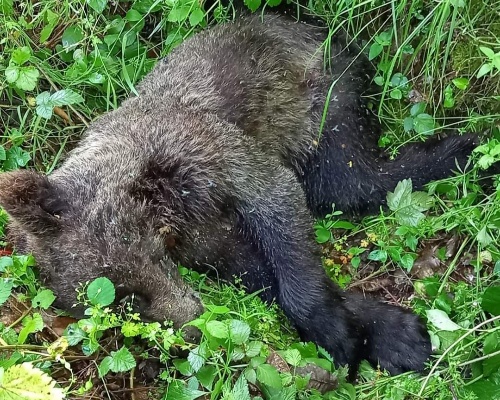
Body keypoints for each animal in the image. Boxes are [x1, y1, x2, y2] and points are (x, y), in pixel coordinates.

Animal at [0, 12, 476, 376]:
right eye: (122, 307)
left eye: (133, 290)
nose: (194, 327)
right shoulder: (205, 235)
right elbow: (258, 272)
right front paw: (389, 334)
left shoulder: (208, 156)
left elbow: (279, 211)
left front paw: (342, 334)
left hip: (322, 96)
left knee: (353, 178)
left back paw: (460, 150)